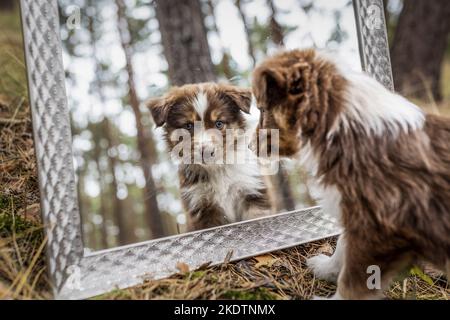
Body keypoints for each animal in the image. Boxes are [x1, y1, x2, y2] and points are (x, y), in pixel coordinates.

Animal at [149, 82, 272, 232]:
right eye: (188, 126)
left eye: (219, 123)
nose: (206, 152)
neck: (217, 169)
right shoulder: (202, 207)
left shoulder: (252, 191)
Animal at [253, 48, 450, 298]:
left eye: (262, 110)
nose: (248, 145)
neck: (341, 128)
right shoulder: (352, 211)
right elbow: (341, 245)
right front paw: (325, 268)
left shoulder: (375, 232)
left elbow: (353, 281)